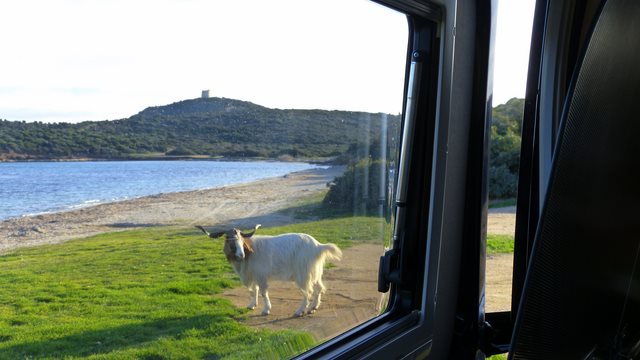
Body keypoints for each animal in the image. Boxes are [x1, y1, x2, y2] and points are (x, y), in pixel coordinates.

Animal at [196, 224, 342, 316]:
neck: (249, 255)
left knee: (308, 292)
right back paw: (313, 308)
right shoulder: (253, 275)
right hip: (314, 272)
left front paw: (266, 310)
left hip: (303, 274)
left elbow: (263, 292)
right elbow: (253, 290)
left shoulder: (261, 276)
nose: (241, 255)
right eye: (229, 240)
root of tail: (318, 246)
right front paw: (252, 305)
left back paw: (299, 311)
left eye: (241, 240)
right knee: (319, 288)